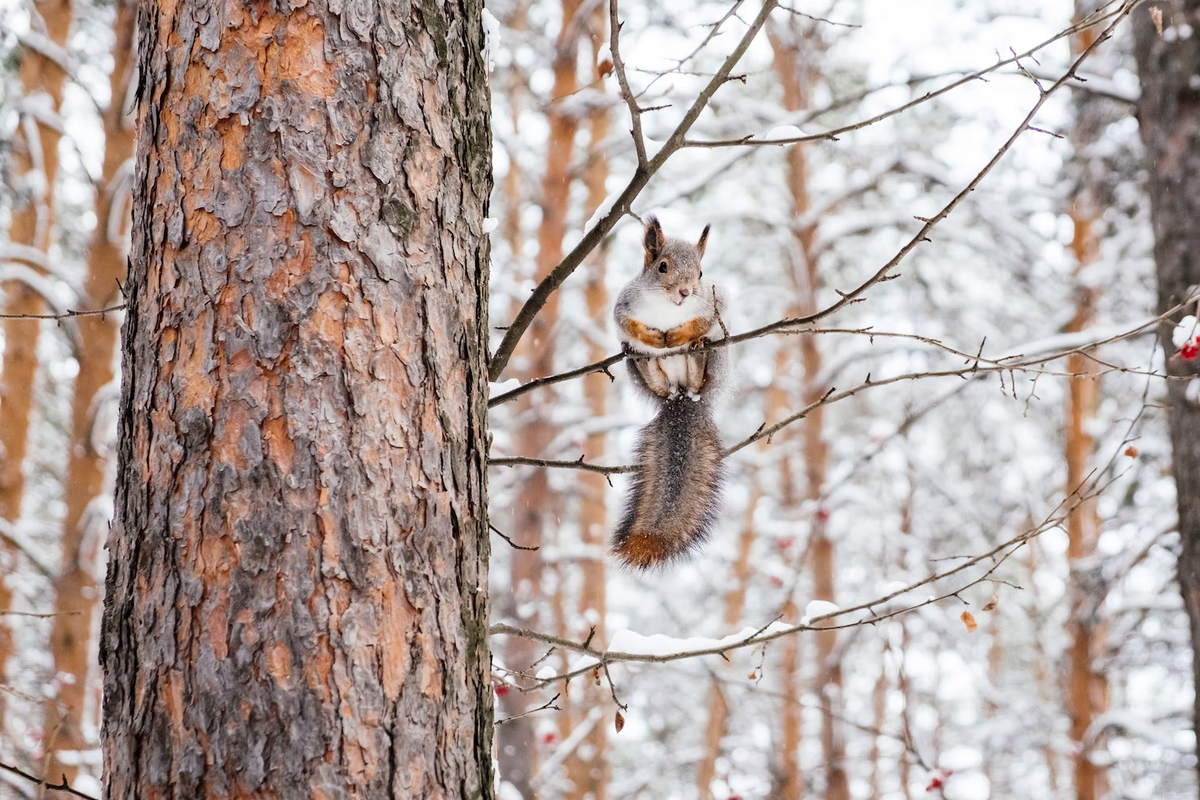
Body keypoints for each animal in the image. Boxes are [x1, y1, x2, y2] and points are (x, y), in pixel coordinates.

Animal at [614, 217, 724, 568]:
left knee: (699, 373)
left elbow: (703, 321)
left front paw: (679, 335)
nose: (685, 292)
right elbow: (626, 323)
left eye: (701, 273)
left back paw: (698, 352)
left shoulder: (714, 305)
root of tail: (681, 396)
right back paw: (643, 357)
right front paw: (650, 338)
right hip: (648, 376)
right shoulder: (624, 303)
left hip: (709, 369)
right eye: (662, 266)